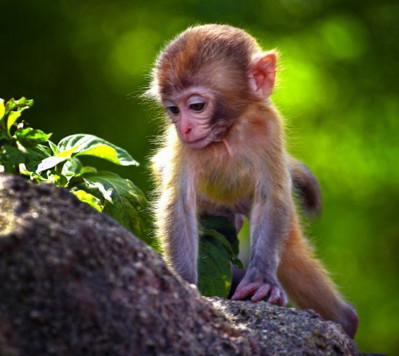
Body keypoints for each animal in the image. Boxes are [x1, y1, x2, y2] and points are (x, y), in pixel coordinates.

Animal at [147, 24, 360, 336]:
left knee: (290, 250)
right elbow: (180, 203)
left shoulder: (269, 127)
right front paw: (185, 283)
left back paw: (346, 320)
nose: (184, 127)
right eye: (174, 109)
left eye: (196, 106)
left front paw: (261, 281)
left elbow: (272, 199)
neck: (228, 132)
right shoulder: (182, 145)